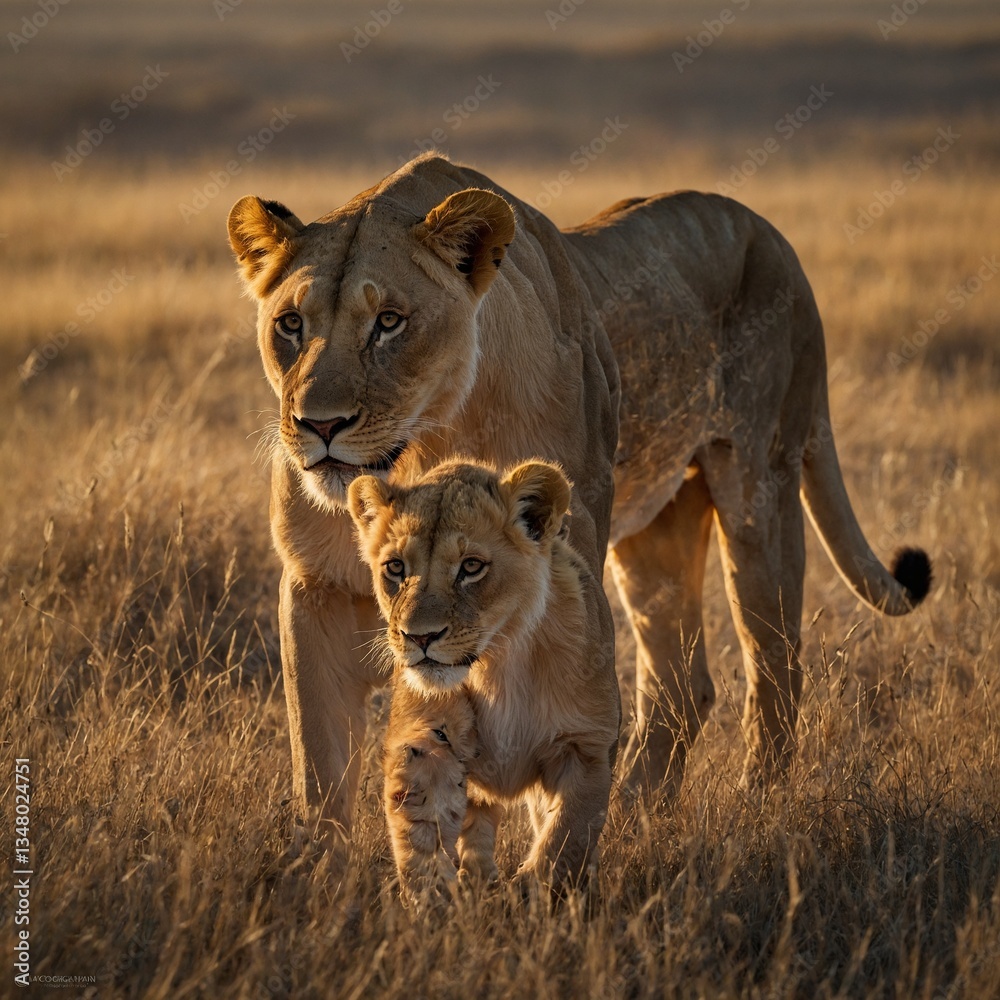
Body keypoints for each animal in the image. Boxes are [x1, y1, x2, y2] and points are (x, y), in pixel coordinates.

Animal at [227, 153, 930, 835]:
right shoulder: (315, 589)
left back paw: (758, 809)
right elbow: (319, 772)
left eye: (390, 322)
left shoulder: (561, 573)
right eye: (290, 324)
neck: (426, 443)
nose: (320, 425)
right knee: (681, 684)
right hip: (659, 528)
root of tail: (776, 237)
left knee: (775, 664)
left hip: (762, 484)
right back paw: (636, 820)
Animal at [350, 459, 619, 897]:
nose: (418, 637)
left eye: (471, 567)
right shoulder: (426, 731)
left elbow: (565, 836)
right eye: (395, 567)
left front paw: (532, 894)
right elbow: (418, 822)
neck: (499, 660)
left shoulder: (585, 745)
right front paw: (432, 895)